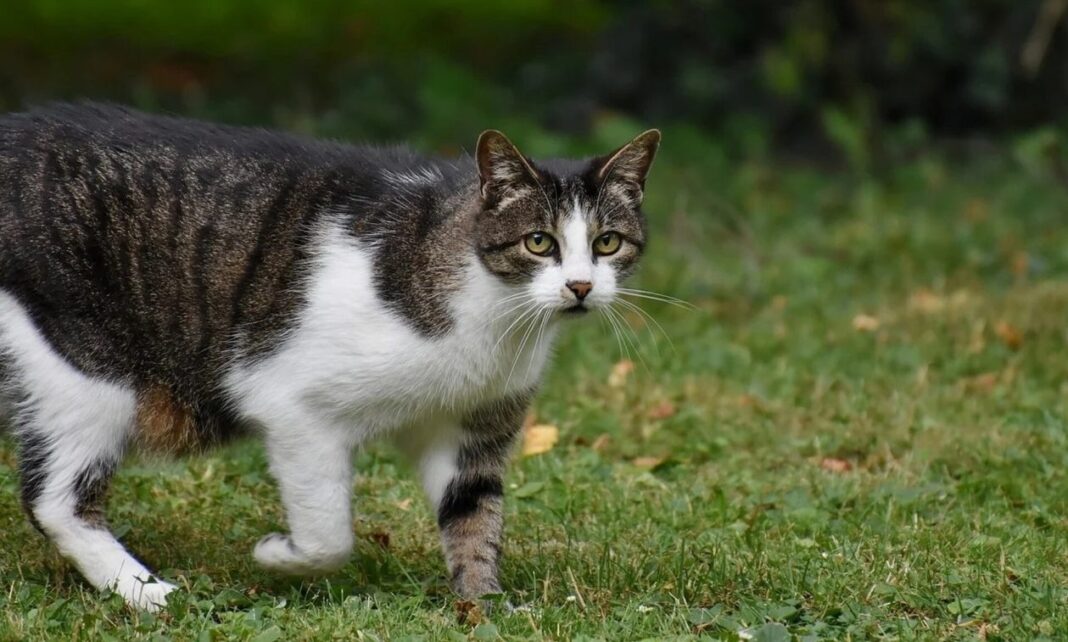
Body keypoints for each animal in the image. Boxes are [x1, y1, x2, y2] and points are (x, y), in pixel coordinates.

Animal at [0, 102, 657, 606]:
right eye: (539, 242)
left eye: (607, 242)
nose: (580, 286)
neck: (493, 318)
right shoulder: (292, 406)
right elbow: (329, 536)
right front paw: (276, 555)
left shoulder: (471, 430)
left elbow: (475, 519)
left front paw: (482, 606)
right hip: (87, 369)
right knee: (55, 499)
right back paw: (147, 594)